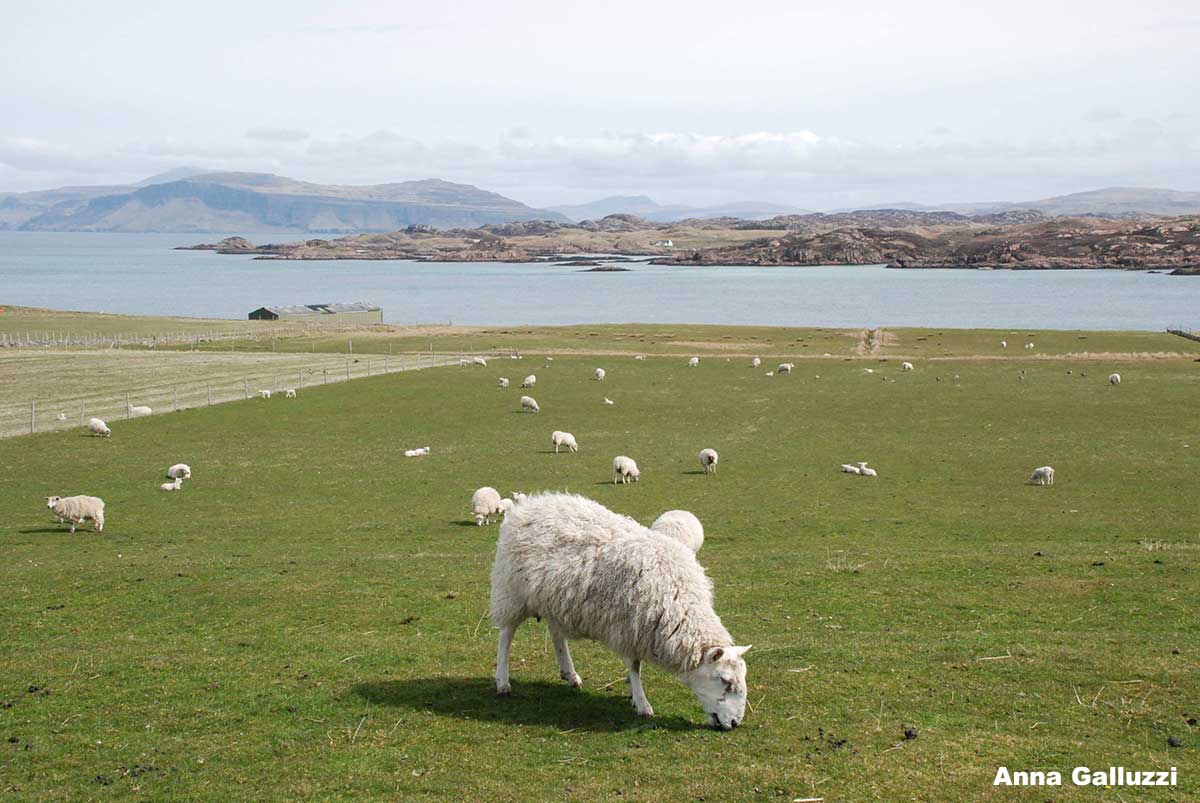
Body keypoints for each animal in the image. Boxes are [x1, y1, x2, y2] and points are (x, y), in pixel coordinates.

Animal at [490, 493, 750, 729]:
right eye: (724, 680)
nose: (735, 723)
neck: (678, 603)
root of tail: (531, 502)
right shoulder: (629, 626)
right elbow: (635, 666)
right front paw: (642, 703)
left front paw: (632, 692)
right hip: (512, 592)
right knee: (506, 635)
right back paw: (503, 682)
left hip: (554, 598)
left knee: (556, 633)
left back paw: (570, 674)